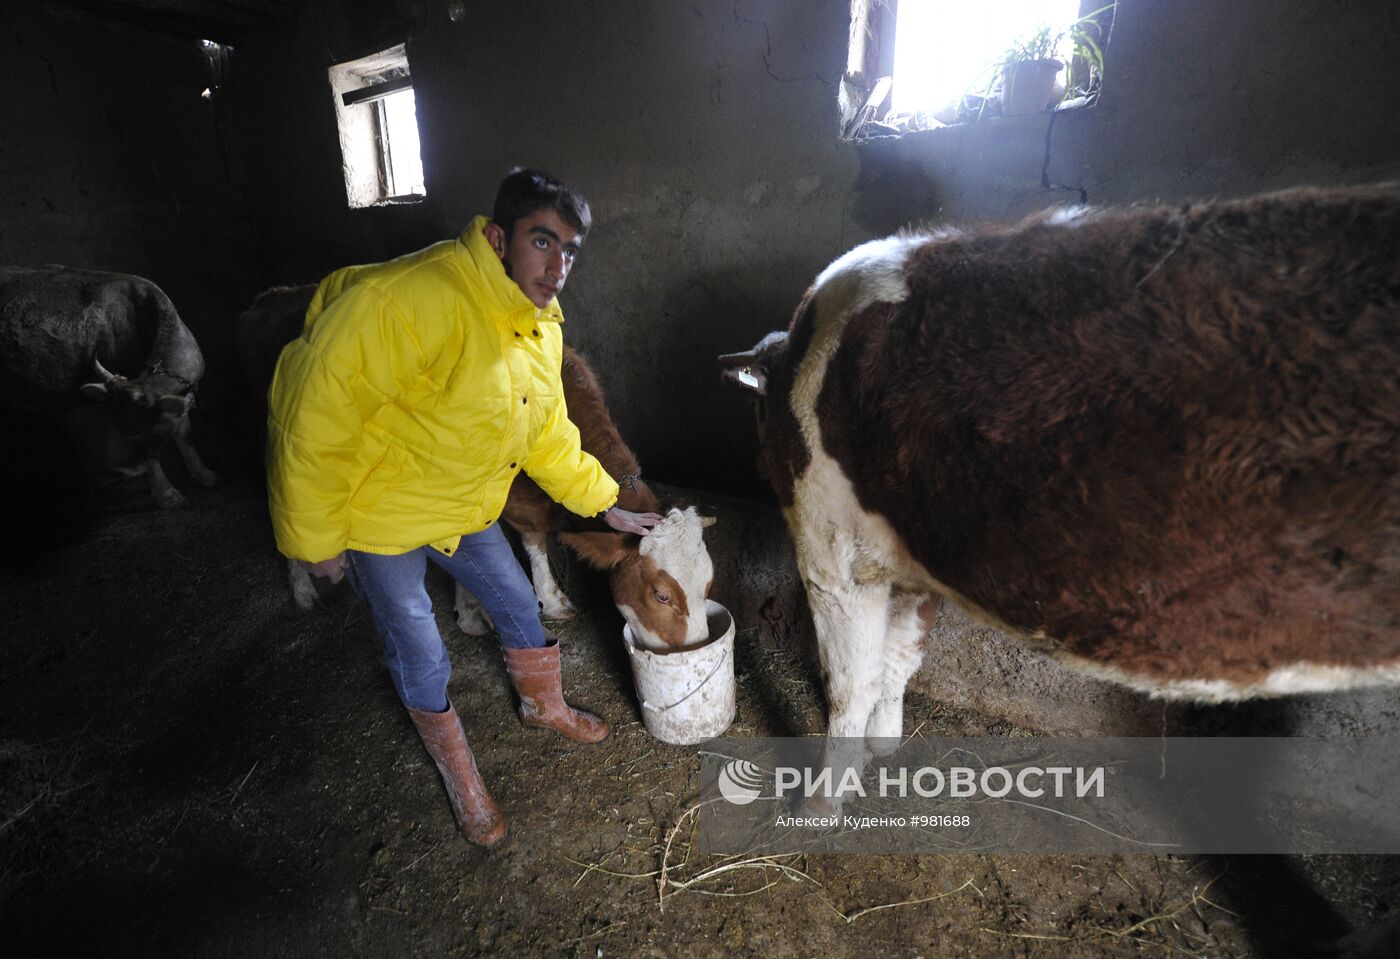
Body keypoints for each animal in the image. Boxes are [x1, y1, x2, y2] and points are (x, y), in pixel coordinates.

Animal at [0, 261, 215, 509]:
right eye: (119, 427)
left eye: (151, 432)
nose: (120, 471)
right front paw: (166, 494)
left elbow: (185, 433)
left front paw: (203, 474)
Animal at [236, 280, 716, 646]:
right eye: (661, 595)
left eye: (708, 583)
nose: (694, 647)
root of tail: (272, 296)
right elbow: (525, 545)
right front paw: (532, 602)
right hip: (278, 453)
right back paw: (303, 590)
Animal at [722, 183, 1400, 756]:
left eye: (758, 414)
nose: (755, 461)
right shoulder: (912, 556)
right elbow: (899, 661)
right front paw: (884, 749)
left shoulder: (829, 549)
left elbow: (849, 684)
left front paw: (823, 802)